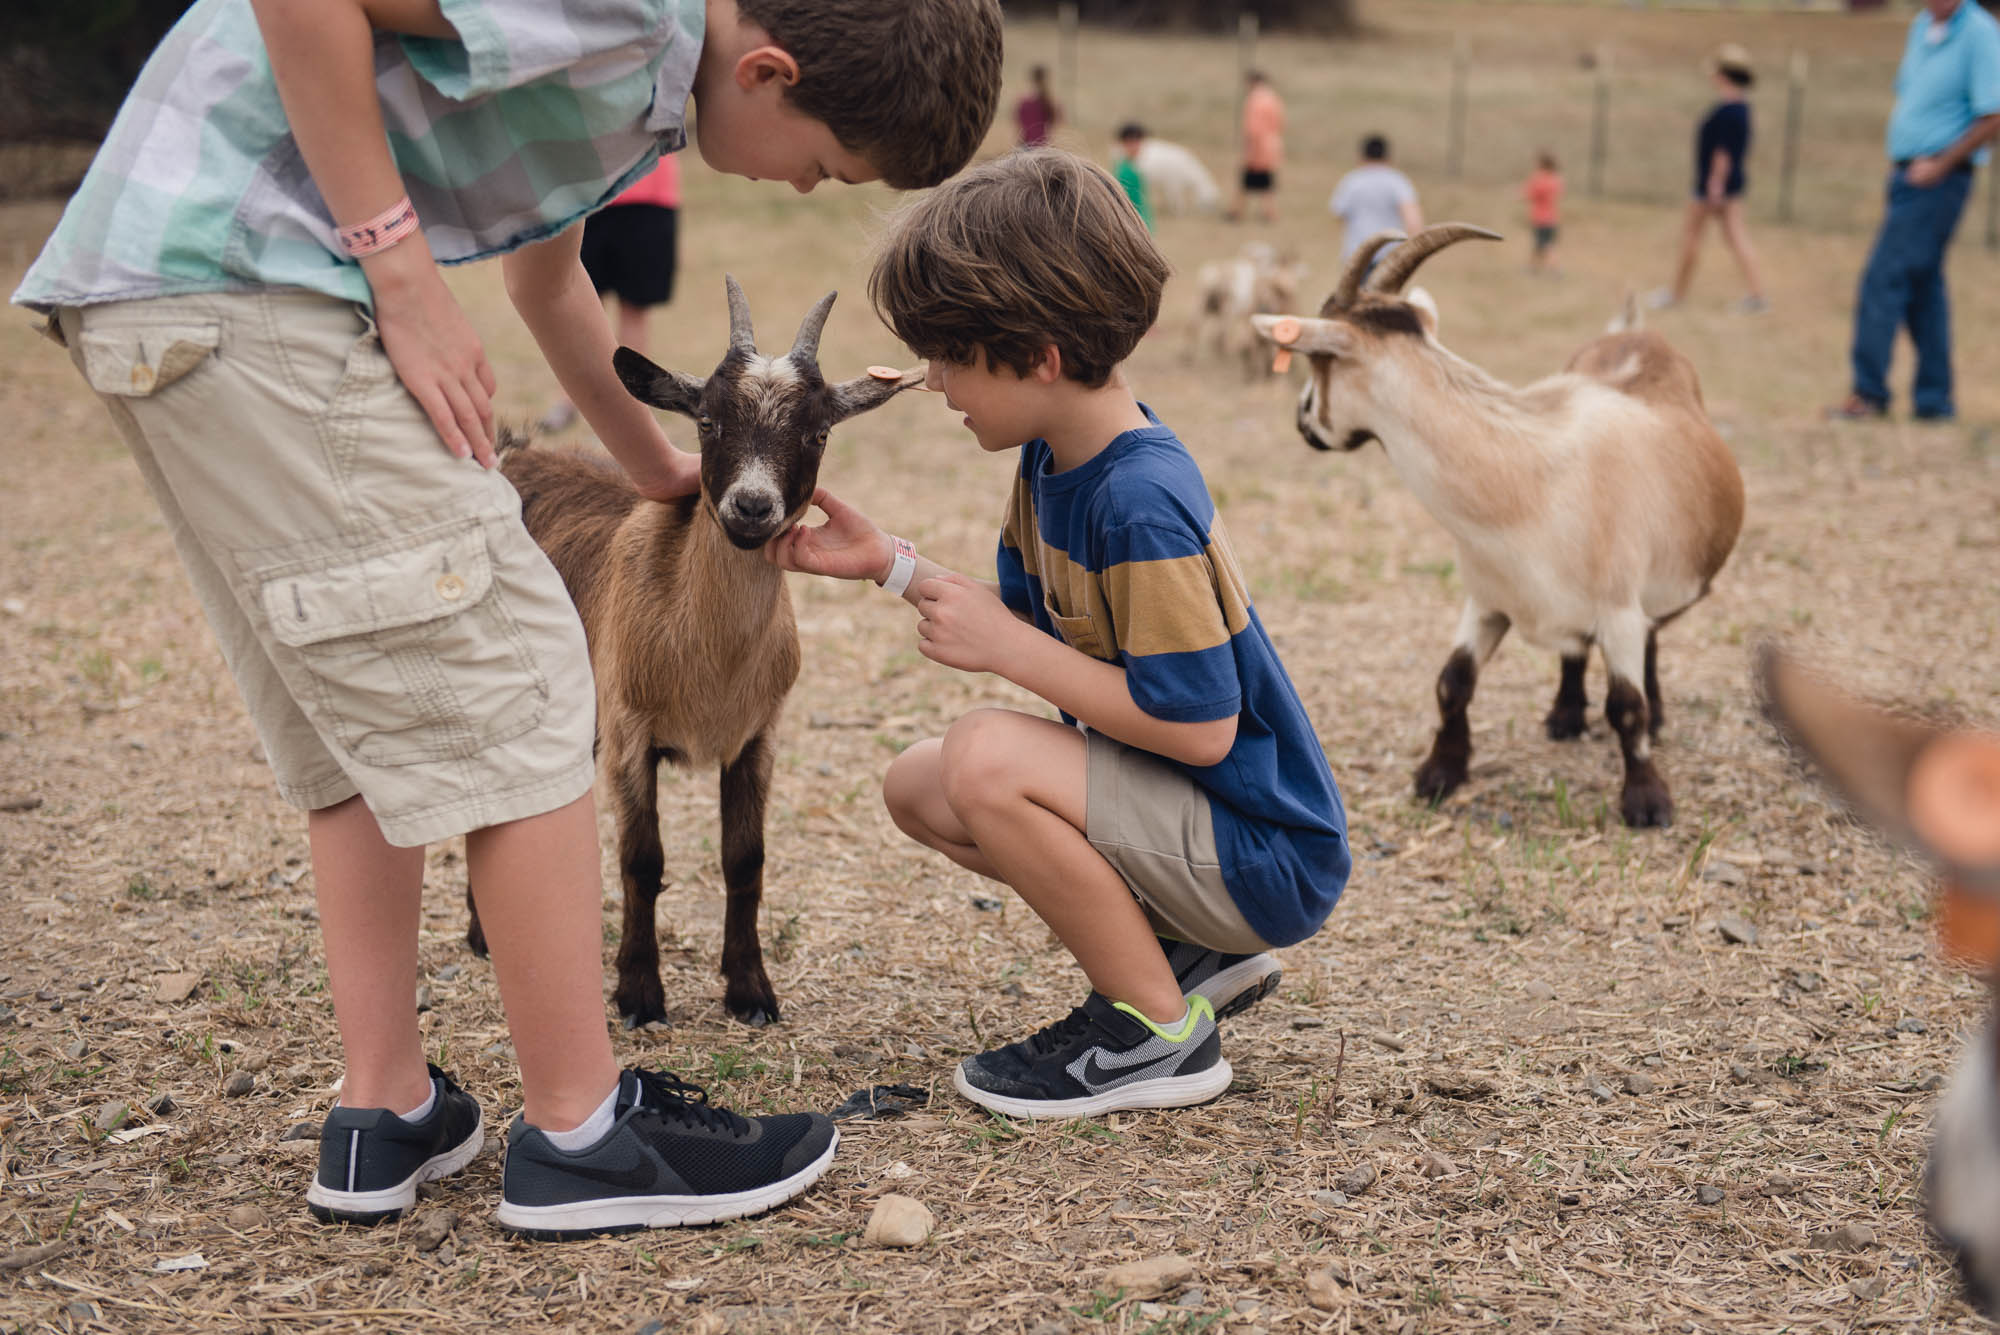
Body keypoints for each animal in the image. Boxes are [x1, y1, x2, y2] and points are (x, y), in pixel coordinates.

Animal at [470, 275, 928, 1031]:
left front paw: (750, 989)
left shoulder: (757, 736)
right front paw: (638, 993)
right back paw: (482, 936)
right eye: (707, 422)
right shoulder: (631, 732)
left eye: (818, 432)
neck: (711, 666)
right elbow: (642, 859)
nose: (751, 507)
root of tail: (515, 452)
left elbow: (745, 858)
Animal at [1256, 225, 1744, 827]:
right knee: (1574, 651)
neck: (1529, 483)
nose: (1304, 418)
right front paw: (1440, 773)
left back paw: (1649, 717)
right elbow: (1452, 681)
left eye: (1319, 362)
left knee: (1650, 641)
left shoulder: (1618, 611)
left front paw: (1647, 801)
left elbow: (1626, 706)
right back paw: (1564, 716)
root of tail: (1633, 330)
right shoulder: (1487, 600)